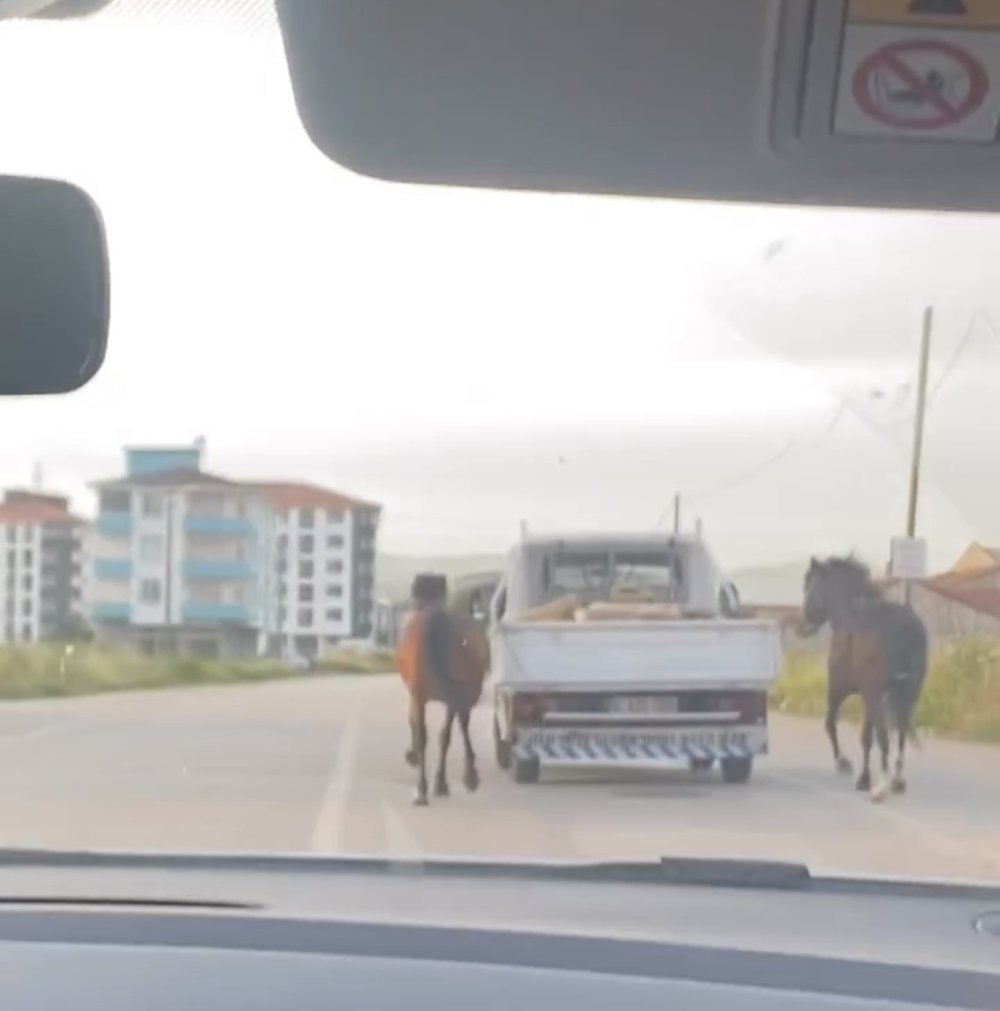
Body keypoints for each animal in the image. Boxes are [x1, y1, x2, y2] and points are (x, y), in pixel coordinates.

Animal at [398, 578, 491, 804]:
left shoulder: (418, 693)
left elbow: (418, 726)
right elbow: (449, 731)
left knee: (432, 734)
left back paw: (425, 787)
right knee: (446, 733)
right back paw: (441, 783)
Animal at [796, 558, 930, 800]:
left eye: (809, 586)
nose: (801, 626)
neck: (849, 616)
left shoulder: (841, 689)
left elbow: (832, 724)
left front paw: (847, 766)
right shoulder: (870, 696)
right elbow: (867, 736)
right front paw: (863, 778)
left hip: (875, 694)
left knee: (885, 734)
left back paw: (881, 788)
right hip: (909, 693)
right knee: (901, 733)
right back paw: (897, 781)